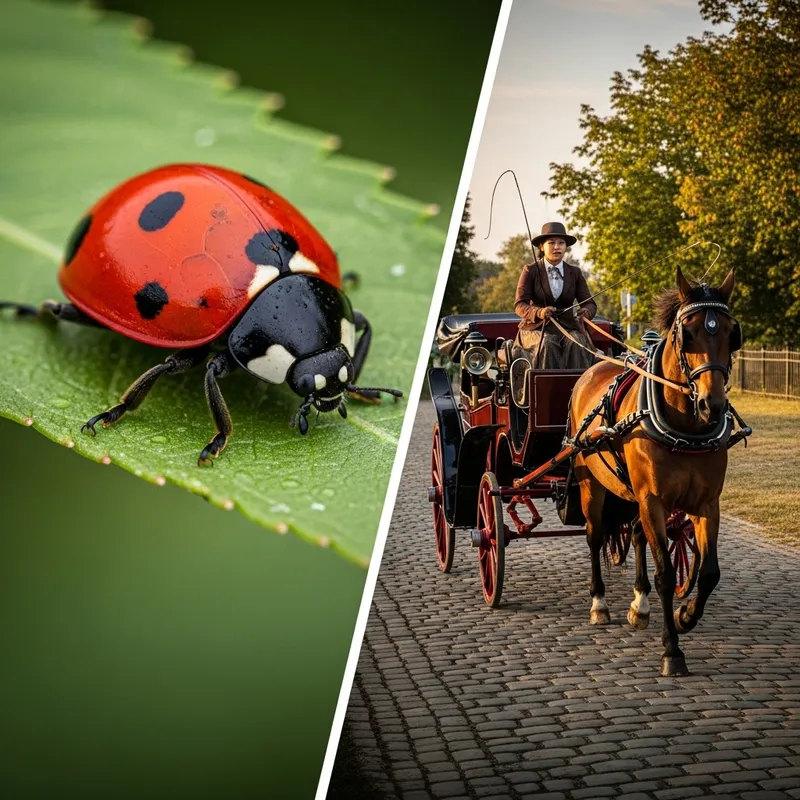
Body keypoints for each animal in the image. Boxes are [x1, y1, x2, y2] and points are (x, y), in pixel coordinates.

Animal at [568, 267, 740, 676]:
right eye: (687, 333)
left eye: (731, 333)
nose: (712, 405)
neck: (685, 427)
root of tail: (593, 367)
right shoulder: (654, 500)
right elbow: (665, 574)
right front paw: (672, 650)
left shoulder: (707, 503)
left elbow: (709, 572)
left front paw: (685, 615)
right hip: (592, 484)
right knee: (595, 536)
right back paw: (600, 604)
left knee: (634, 534)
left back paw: (639, 605)